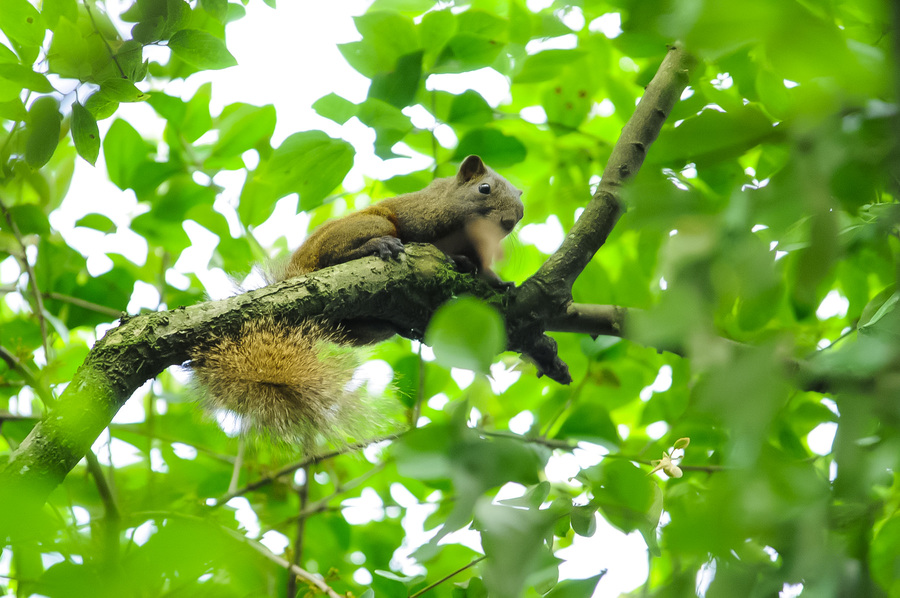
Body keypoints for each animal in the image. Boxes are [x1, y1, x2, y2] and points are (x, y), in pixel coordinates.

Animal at [192, 155, 528, 446]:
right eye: (484, 188)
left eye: (522, 208)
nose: (510, 220)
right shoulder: (422, 215)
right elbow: (426, 240)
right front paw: (454, 259)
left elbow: (484, 271)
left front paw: (499, 282)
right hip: (367, 227)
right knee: (341, 255)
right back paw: (377, 246)